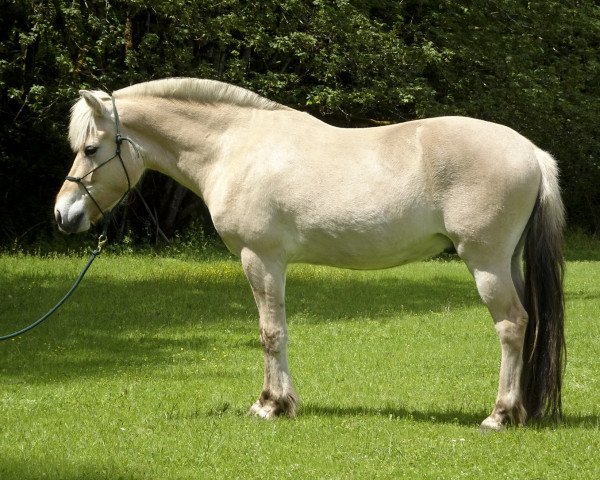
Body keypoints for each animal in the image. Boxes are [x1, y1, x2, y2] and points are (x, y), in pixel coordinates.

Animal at [54, 79, 564, 432]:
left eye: (91, 148)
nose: (63, 214)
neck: (235, 146)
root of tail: (531, 153)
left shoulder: (260, 259)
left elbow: (271, 333)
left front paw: (269, 405)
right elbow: (276, 331)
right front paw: (279, 402)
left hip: (486, 264)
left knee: (512, 325)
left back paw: (499, 415)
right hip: (507, 263)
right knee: (529, 321)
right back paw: (520, 410)